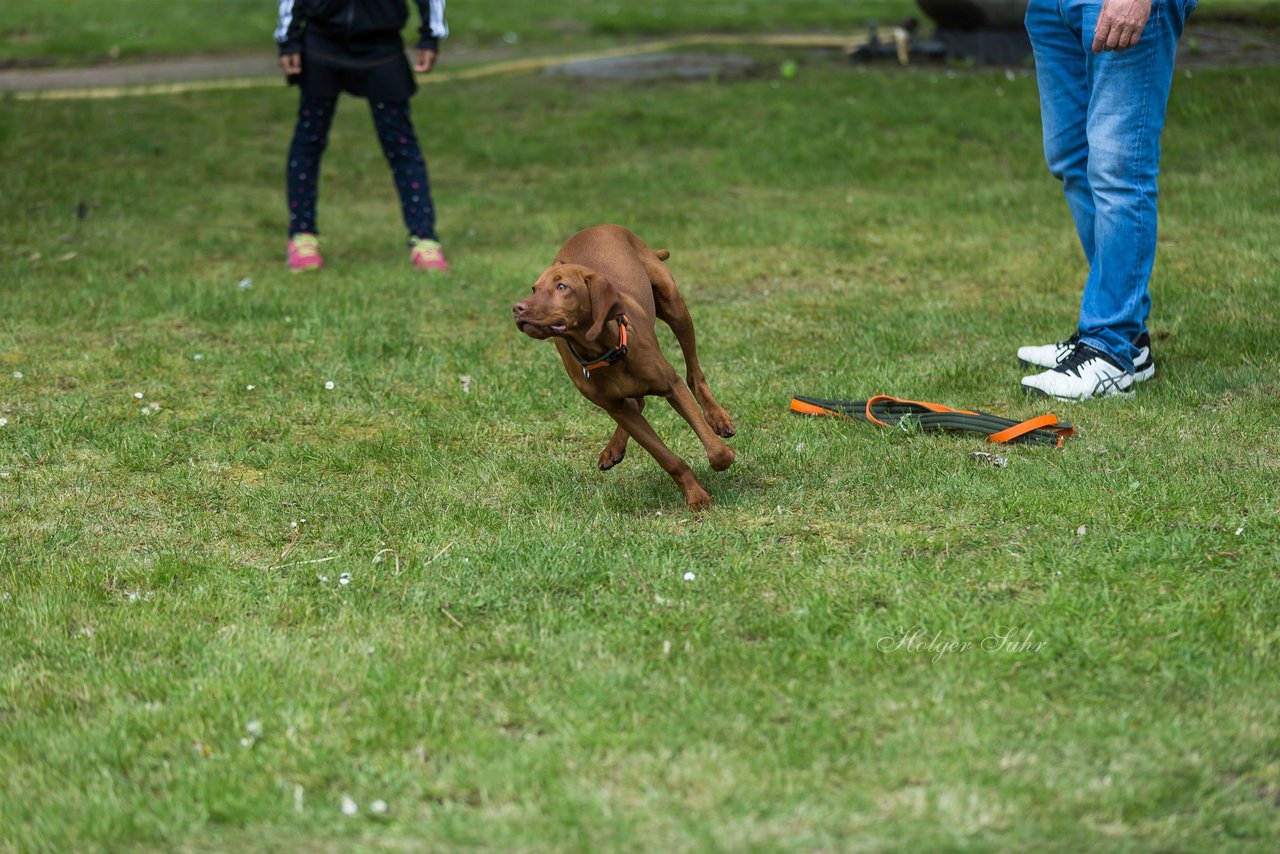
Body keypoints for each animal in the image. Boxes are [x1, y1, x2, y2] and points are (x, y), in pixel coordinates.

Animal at [506, 224, 732, 512]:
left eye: (562, 286)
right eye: (534, 288)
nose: (518, 308)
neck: (606, 352)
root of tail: (597, 227)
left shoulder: (672, 386)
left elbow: (714, 448)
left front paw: (722, 459)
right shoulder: (616, 409)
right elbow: (667, 459)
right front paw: (695, 495)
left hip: (675, 306)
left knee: (694, 374)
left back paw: (718, 417)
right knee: (638, 402)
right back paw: (613, 449)